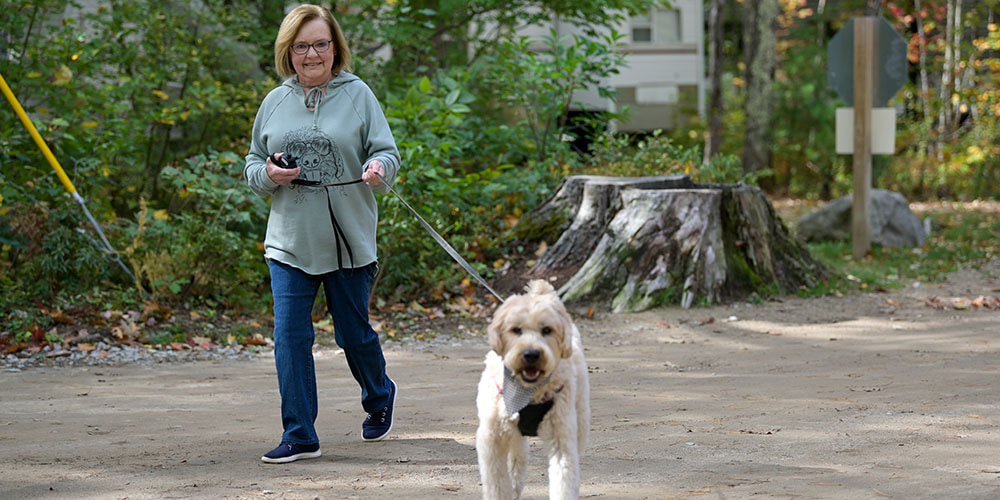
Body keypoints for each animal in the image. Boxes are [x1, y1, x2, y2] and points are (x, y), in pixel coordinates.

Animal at [474, 280, 584, 498]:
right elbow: (497, 485)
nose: (532, 354)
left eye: (547, 330)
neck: (526, 392)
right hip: (514, 437)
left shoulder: (562, 440)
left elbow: (564, 482)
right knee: (516, 465)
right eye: (516, 330)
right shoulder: (492, 439)